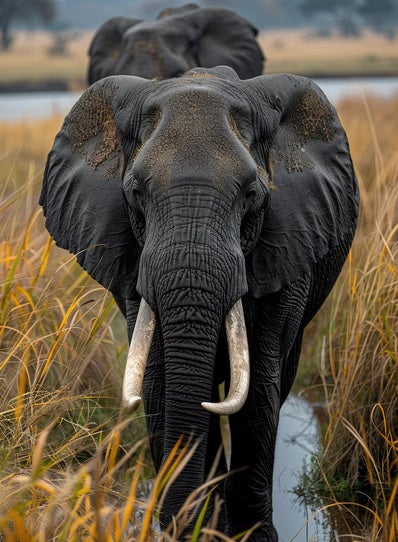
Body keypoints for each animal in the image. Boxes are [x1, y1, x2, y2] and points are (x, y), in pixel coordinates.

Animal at [38, 66, 360, 540]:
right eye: (135, 193)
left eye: (252, 194)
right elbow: (158, 382)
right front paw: (199, 528)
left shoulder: (289, 239)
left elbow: (259, 389)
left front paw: (249, 534)